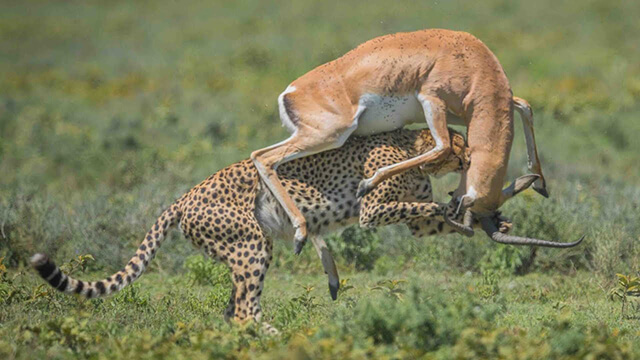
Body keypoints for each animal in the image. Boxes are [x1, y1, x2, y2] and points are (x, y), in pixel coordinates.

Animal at [33, 128, 516, 334]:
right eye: (460, 142)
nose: (471, 154)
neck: (416, 151)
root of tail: (183, 197)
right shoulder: (373, 210)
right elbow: (426, 205)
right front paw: (458, 206)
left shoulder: (410, 221)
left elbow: (428, 215)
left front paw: (493, 220)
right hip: (251, 242)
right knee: (245, 309)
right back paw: (274, 336)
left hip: (242, 248)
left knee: (232, 310)